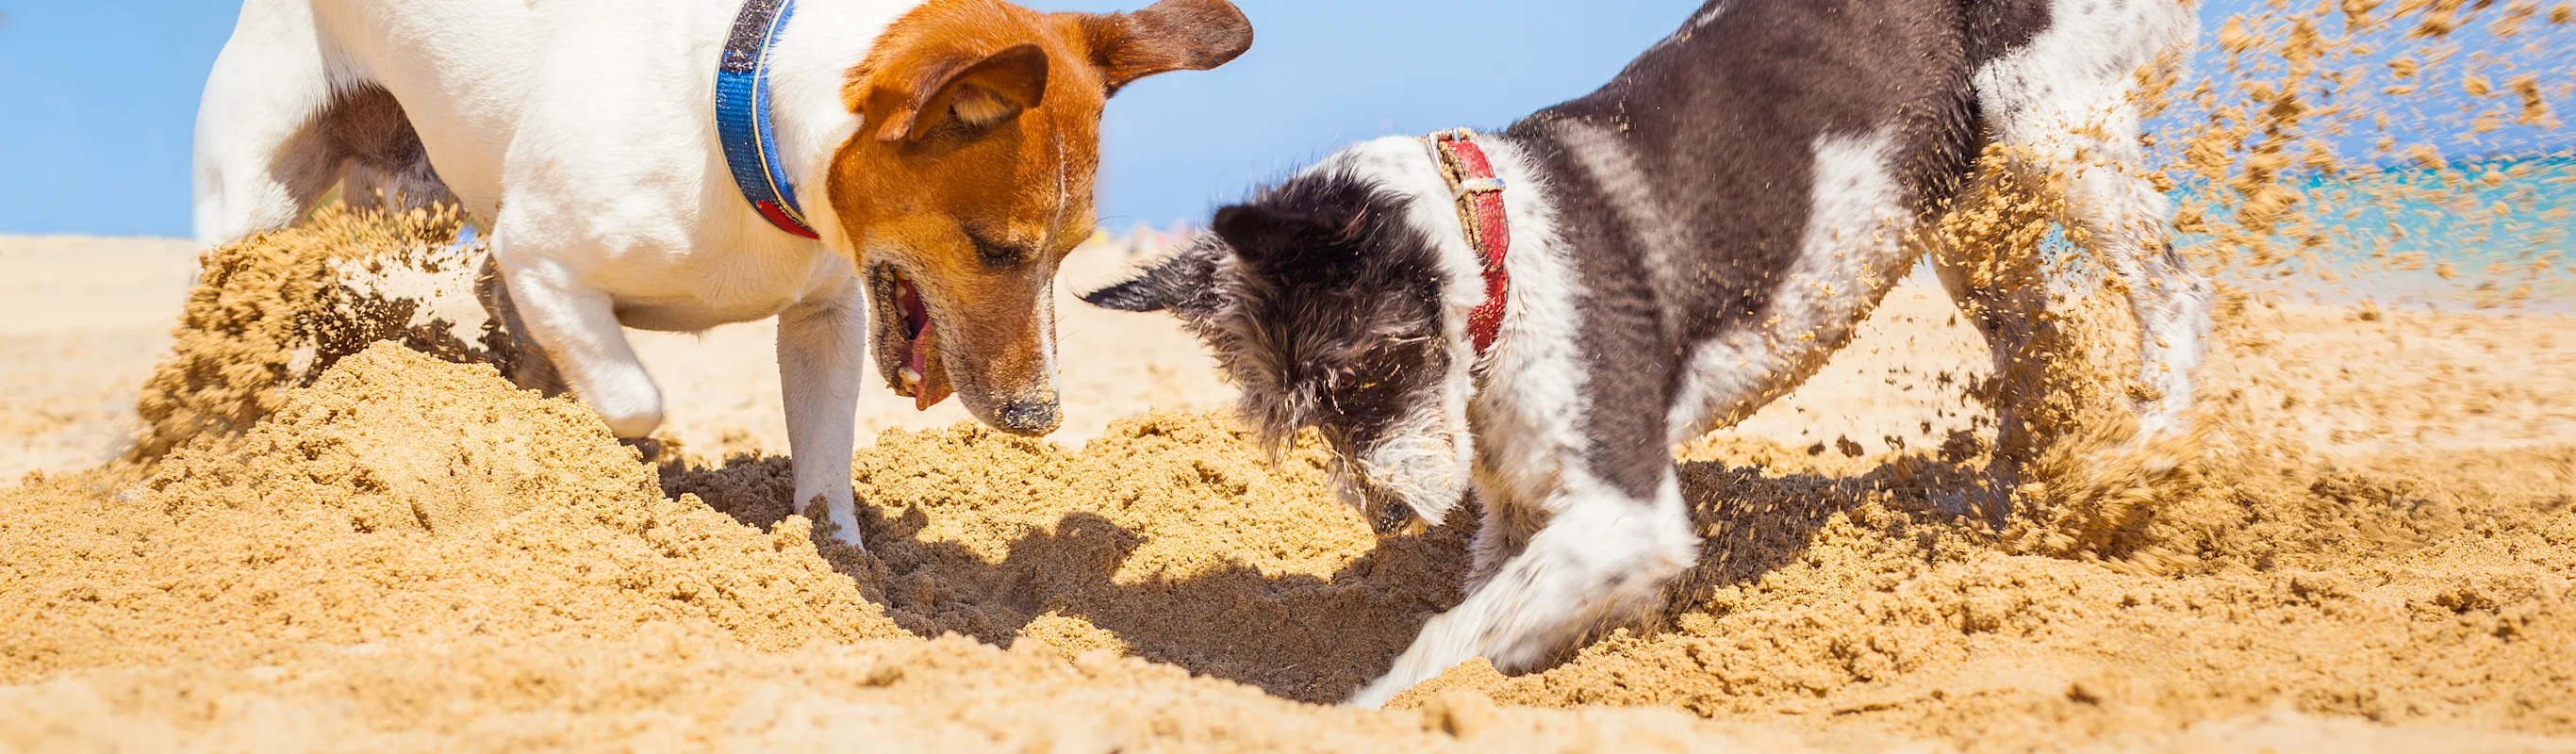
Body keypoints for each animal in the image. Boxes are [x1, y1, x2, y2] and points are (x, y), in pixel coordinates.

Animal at [195, 0, 1251, 543]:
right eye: (997, 248)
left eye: (1071, 252)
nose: (1041, 418)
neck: (742, 121)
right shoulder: (539, 252)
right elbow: (633, 399)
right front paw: (604, 462)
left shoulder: (826, 321)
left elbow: (824, 472)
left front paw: (836, 565)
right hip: (249, 208)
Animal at [1086, 0, 2215, 705]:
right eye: (1295, 414)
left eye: (1357, 375)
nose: (1386, 516)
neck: (1501, 250)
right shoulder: (1523, 506)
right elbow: (1499, 606)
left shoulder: (1627, 506)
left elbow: (1445, 640)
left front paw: (1366, 711)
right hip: (1969, 212)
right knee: (2039, 341)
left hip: (2053, 122)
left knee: (2176, 290)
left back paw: (2144, 454)